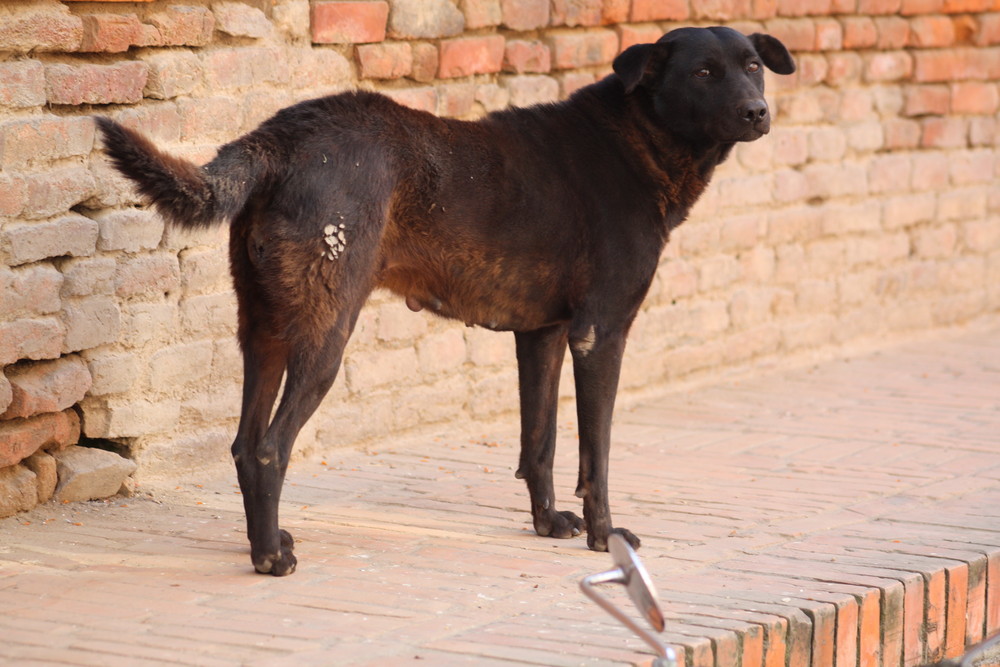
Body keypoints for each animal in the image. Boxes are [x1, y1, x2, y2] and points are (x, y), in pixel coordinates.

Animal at [95, 28, 796, 576]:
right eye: (704, 73)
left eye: (753, 66)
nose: (758, 112)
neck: (636, 137)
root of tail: (280, 136)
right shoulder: (601, 334)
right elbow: (595, 455)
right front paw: (605, 538)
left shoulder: (541, 334)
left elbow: (539, 443)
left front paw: (547, 524)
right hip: (325, 335)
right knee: (271, 448)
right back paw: (271, 558)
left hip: (265, 330)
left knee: (244, 445)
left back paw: (260, 543)